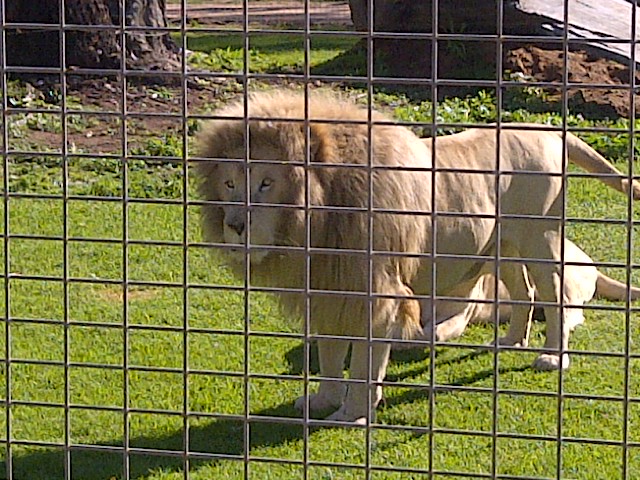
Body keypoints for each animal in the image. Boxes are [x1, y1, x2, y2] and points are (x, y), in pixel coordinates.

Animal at [196, 90, 640, 424]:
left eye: (266, 183)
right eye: (230, 184)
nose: (235, 225)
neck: (316, 222)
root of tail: (546, 131)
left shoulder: (374, 292)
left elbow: (364, 365)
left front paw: (352, 415)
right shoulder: (329, 287)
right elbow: (330, 352)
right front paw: (323, 400)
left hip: (540, 239)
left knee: (554, 297)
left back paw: (551, 356)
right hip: (505, 248)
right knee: (524, 293)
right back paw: (511, 342)